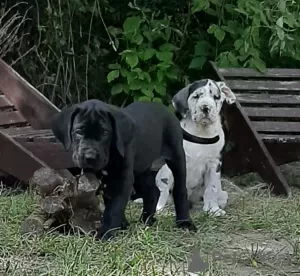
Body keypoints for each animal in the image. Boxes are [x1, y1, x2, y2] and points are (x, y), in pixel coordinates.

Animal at [51, 100, 216, 240]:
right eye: (79, 131)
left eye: (105, 133)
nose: (90, 156)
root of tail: (167, 111)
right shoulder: (104, 179)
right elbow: (110, 201)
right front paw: (121, 225)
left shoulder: (123, 178)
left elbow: (115, 206)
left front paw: (106, 234)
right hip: (143, 170)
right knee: (153, 191)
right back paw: (147, 220)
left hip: (177, 157)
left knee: (180, 190)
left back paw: (184, 222)